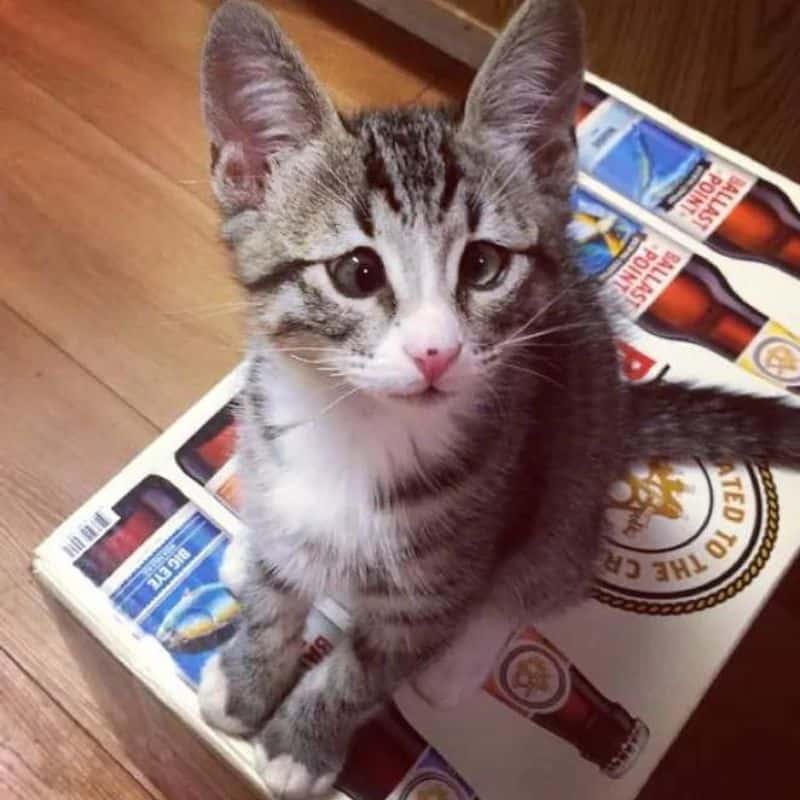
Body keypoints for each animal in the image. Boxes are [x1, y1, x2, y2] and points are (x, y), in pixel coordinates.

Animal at [195, 1, 800, 792]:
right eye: (358, 272)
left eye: (483, 265)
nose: (435, 351)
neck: (357, 430)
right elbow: (274, 600)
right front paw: (246, 677)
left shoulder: (440, 580)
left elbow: (362, 672)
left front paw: (304, 739)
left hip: (568, 478)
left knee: (551, 571)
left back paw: (463, 660)